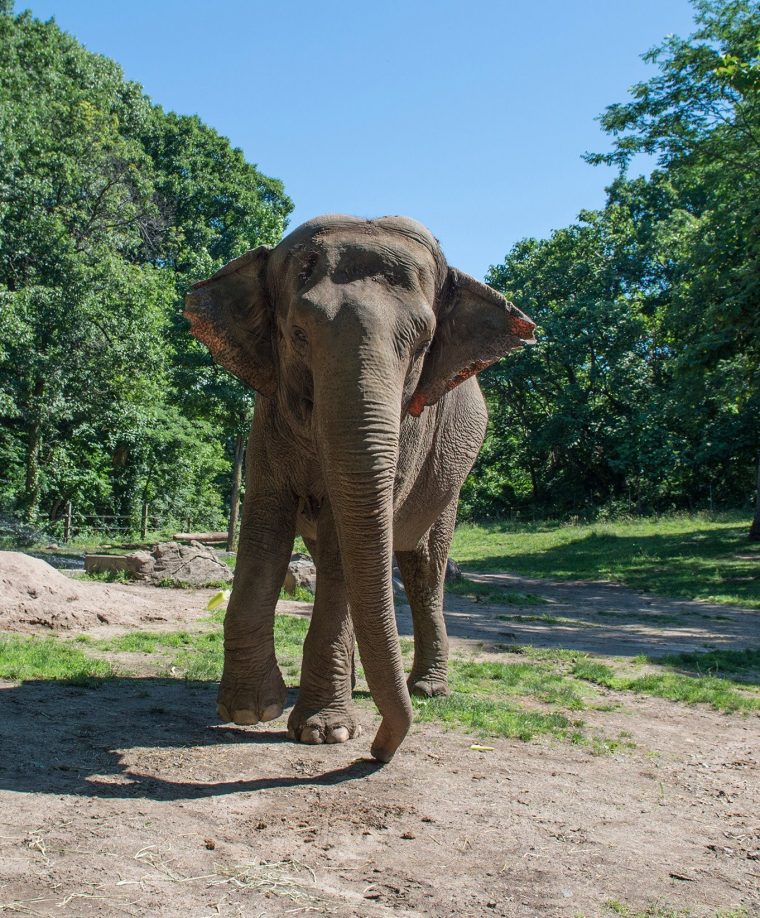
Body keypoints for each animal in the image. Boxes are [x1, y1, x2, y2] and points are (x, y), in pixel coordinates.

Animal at [184, 216, 536, 760]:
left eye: (423, 344)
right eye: (298, 334)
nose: (378, 752)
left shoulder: (410, 432)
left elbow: (341, 546)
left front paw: (325, 733)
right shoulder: (268, 417)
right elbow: (265, 530)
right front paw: (250, 711)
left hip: (450, 480)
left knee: (423, 568)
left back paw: (426, 690)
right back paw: (355, 687)